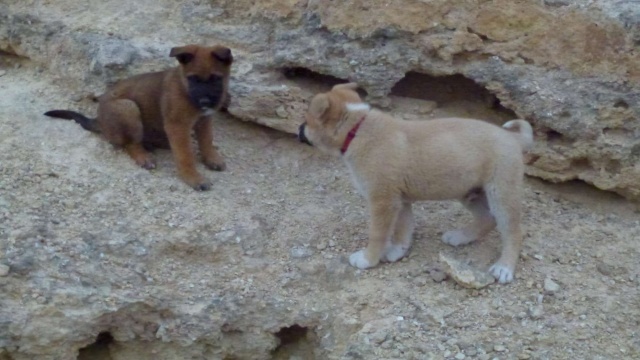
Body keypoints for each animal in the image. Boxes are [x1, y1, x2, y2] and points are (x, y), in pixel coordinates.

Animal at [45, 44, 235, 191]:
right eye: (193, 79)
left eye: (216, 79)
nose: (205, 101)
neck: (185, 88)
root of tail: (99, 120)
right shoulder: (178, 125)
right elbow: (185, 155)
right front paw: (193, 178)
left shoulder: (204, 120)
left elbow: (207, 141)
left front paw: (212, 158)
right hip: (128, 108)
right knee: (130, 144)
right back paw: (144, 156)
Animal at [300, 83, 536, 282]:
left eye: (307, 120)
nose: (299, 130)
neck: (357, 129)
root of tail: (513, 138)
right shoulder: (400, 201)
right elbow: (403, 229)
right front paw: (397, 251)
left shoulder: (383, 202)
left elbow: (378, 234)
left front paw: (368, 259)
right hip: (469, 192)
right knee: (487, 218)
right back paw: (460, 237)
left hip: (502, 194)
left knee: (513, 231)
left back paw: (504, 267)